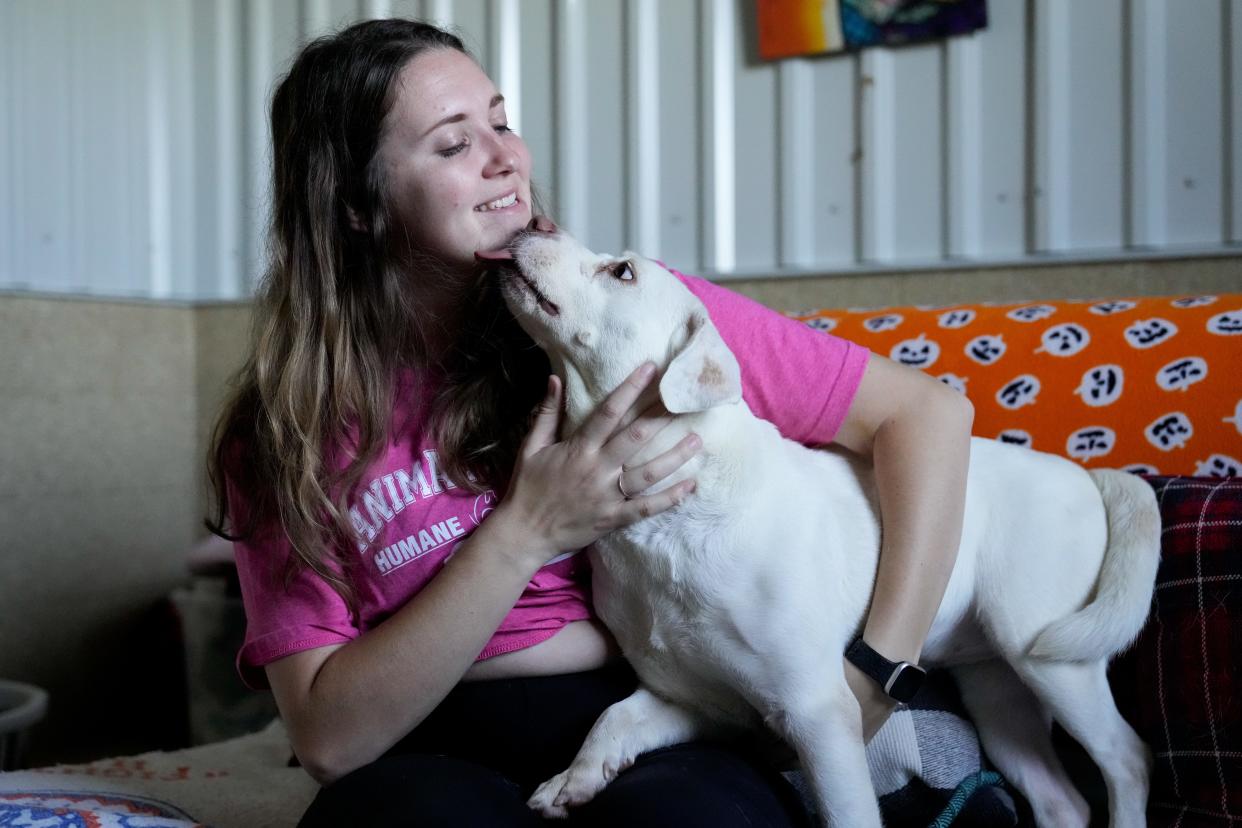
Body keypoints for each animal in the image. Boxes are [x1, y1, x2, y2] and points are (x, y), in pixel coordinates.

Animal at [489, 227, 1157, 828]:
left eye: (621, 271)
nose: (529, 226)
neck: (665, 515)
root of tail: (1089, 475)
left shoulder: (817, 714)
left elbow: (846, 811)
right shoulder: (698, 700)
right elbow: (614, 717)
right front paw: (573, 780)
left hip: (1047, 654)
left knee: (1128, 758)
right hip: (997, 689)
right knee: (1062, 800)